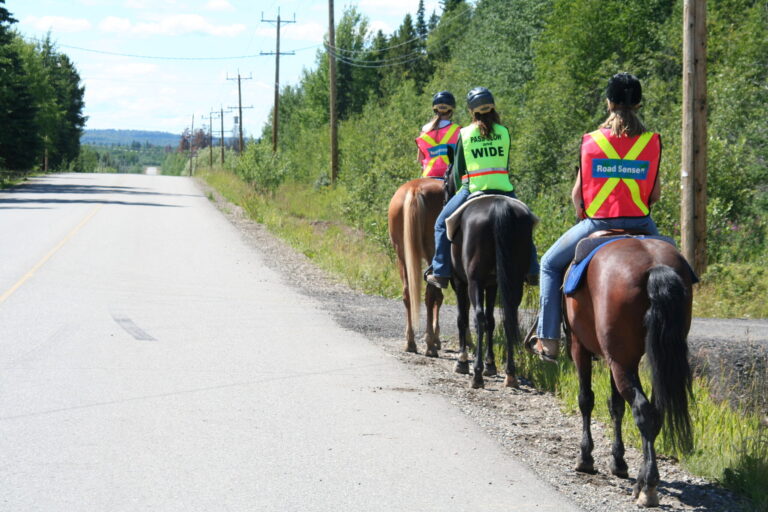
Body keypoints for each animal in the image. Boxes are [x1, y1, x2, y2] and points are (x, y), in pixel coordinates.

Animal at [390, 179, 444, 356]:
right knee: (430, 294)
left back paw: (411, 342)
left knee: (407, 293)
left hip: (402, 255)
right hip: (431, 253)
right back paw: (430, 344)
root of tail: (415, 189)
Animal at [444, 171, 536, 388]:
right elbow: (491, 321)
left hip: (474, 281)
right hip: (513, 281)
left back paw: (476, 375)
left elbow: (464, 318)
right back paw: (510, 374)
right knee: (509, 317)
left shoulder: (460, 282)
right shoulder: (493, 284)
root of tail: (499, 207)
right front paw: (491, 364)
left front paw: (463, 361)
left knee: (477, 316)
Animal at [564, 237, 696, 508]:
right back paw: (644, 481)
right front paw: (618, 461)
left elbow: (586, 399)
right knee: (655, 412)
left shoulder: (580, 347)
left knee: (642, 410)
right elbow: (616, 406)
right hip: (645, 361)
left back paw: (648, 487)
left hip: (619, 360)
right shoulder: (616, 358)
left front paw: (585, 457)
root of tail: (655, 266)